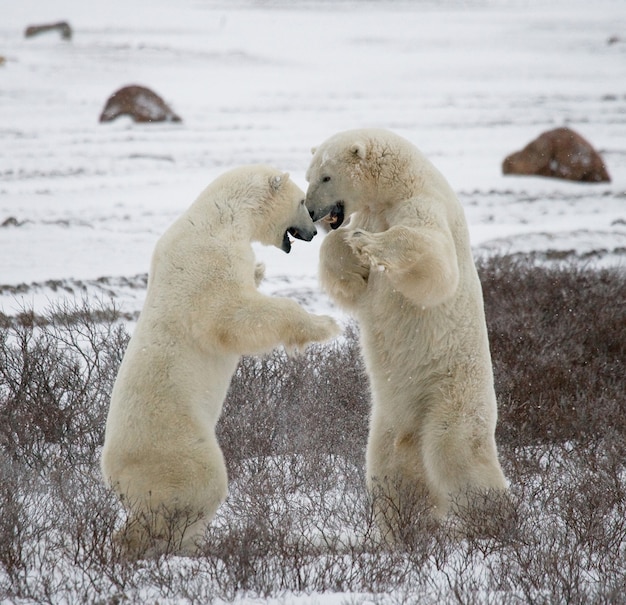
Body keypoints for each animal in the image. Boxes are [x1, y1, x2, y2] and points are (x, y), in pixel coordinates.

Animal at [100, 164, 338, 556]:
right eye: (303, 201)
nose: (312, 232)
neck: (221, 216)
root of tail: (114, 474)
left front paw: (259, 269)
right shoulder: (209, 261)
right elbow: (233, 317)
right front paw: (326, 324)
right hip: (177, 447)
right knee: (197, 489)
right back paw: (177, 544)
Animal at [304, 129, 508, 536]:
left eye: (326, 176)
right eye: (308, 175)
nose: (310, 210)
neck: (396, 184)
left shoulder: (421, 203)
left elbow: (433, 261)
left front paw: (367, 243)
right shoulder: (370, 210)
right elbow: (351, 282)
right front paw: (350, 256)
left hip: (450, 391)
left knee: (456, 453)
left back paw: (494, 519)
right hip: (389, 418)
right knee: (390, 470)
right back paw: (403, 529)